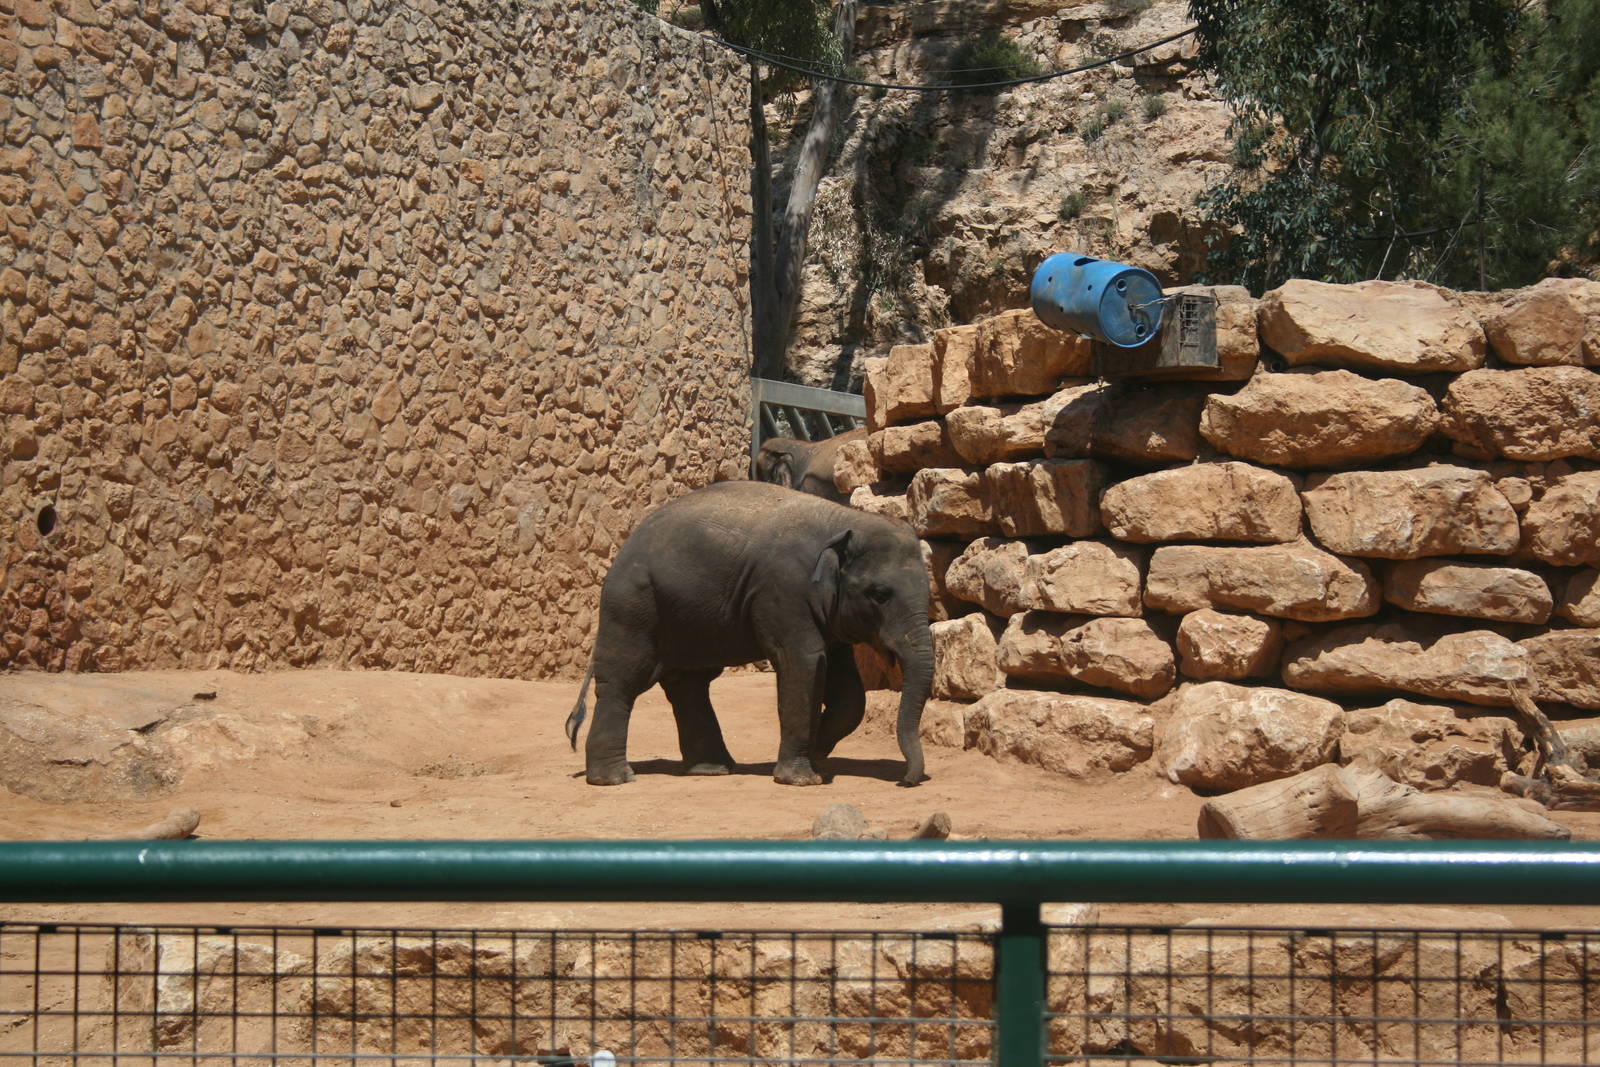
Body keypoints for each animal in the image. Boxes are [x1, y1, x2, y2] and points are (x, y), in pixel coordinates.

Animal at [565, 479, 933, 788]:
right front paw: (802, 779)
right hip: (633, 605)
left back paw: (712, 770)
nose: (905, 781)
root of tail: (623, 547)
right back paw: (615, 779)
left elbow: (847, 691)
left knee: (689, 683)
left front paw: (817, 759)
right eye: (880, 594)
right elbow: (804, 662)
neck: (843, 520)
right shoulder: (784, 591)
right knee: (624, 680)